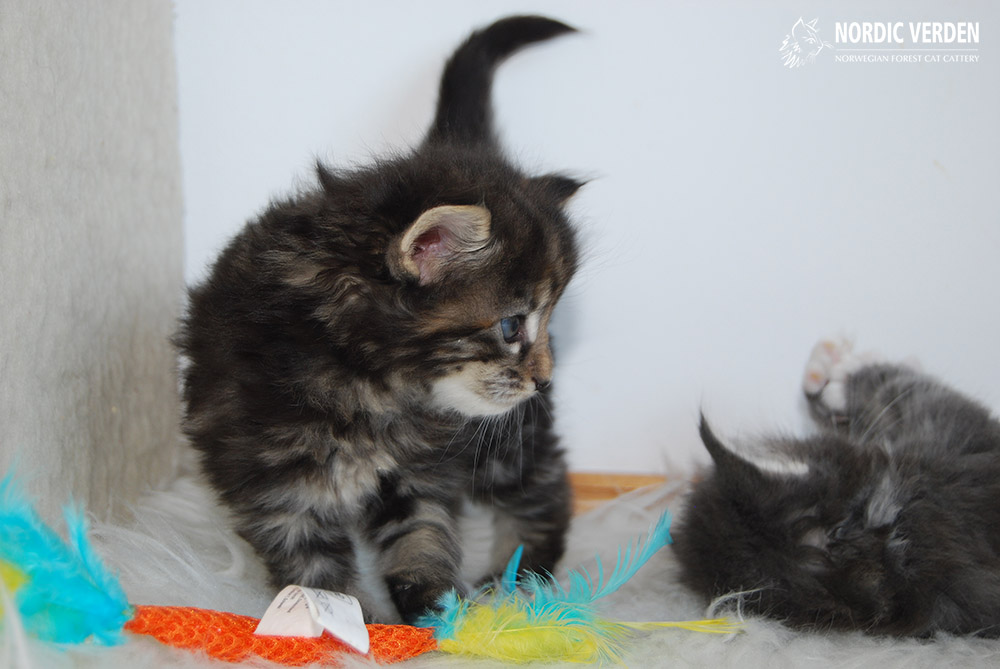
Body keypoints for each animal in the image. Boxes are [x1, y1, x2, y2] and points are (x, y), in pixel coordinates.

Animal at [175, 16, 583, 624]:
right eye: (512, 327)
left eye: (549, 319)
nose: (545, 378)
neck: (365, 384)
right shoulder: (277, 491)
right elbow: (315, 576)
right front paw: (348, 624)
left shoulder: (418, 472)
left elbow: (422, 537)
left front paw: (436, 614)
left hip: (505, 439)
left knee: (542, 487)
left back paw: (521, 581)